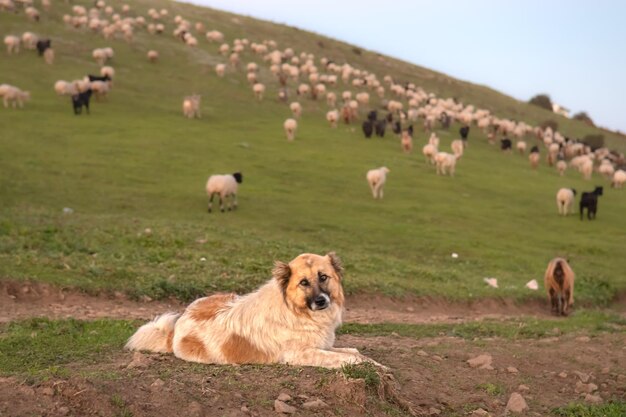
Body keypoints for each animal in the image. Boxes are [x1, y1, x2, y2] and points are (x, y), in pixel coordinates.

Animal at [125, 254, 380, 368]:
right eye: (303, 283)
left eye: (323, 277)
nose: (321, 301)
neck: (295, 310)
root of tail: (176, 326)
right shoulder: (300, 354)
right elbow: (348, 357)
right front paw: (374, 366)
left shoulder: (322, 345)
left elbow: (352, 351)